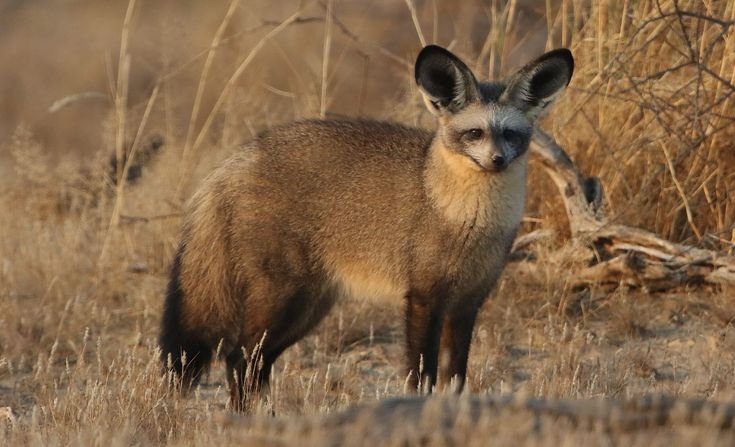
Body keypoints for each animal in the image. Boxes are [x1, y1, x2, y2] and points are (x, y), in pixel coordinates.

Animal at [160, 44, 574, 410]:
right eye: (474, 133)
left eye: (510, 134)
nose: (497, 160)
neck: (467, 221)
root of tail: (233, 162)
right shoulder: (424, 297)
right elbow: (420, 376)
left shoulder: (468, 302)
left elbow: (455, 378)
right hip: (282, 299)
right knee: (238, 358)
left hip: (309, 309)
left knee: (252, 365)